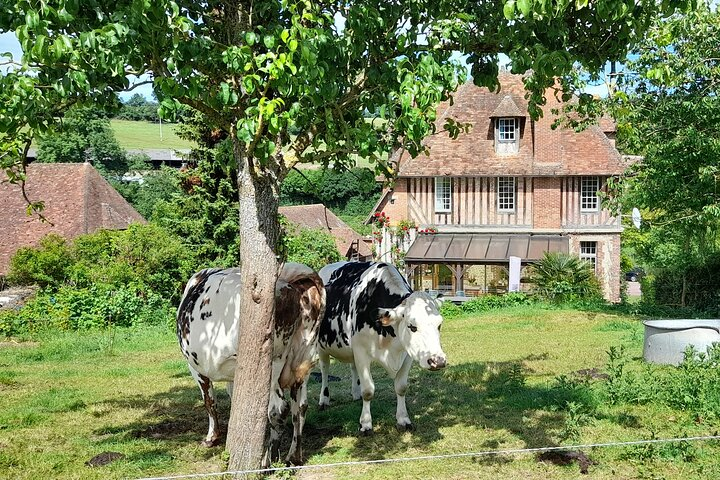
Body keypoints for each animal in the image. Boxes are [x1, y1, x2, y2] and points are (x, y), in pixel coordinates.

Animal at [177, 262, 326, 464]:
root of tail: (288, 279)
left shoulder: (195, 367)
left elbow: (209, 401)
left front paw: (211, 437)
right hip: (304, 361)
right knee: (300, 407)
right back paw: (293, 456)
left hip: (272, 364)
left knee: (279, 409)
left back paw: (267, 461)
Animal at [320, 260, 448, 434]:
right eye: (412, 326)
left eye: (439, 324)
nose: (438, 361)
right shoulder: (361, 352)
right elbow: (368, 390)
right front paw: (365, 424)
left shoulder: (407, 354)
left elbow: (401, 387)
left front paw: (403, 419)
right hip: (320, 347)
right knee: (324, 370)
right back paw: (324, 400)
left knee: (352, 368)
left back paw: (355, 394)